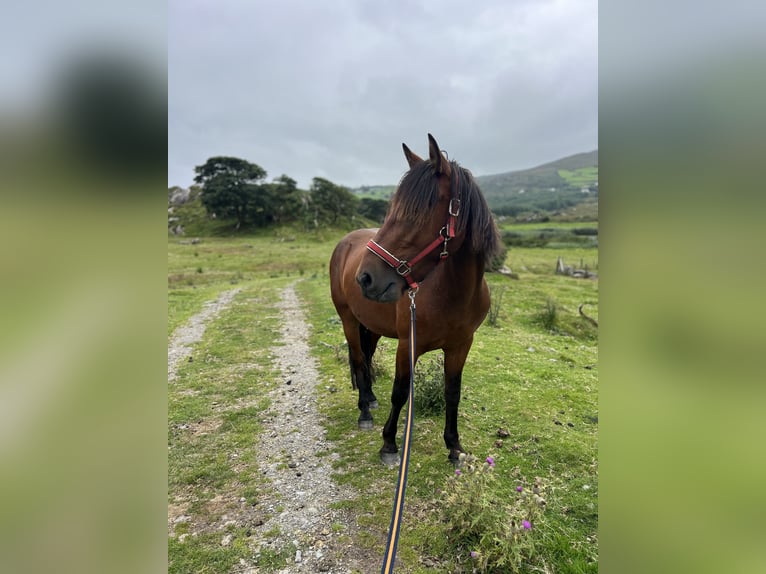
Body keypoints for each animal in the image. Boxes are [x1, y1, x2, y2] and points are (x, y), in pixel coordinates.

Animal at [329, 133, 502, 464]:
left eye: (419, 214)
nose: (365, 278)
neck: (452, 295)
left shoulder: (461, 346)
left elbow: (452, 392)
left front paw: (454, 446)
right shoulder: (408, 345)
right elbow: (400, 391)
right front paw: (389, 444)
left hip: (371, 325)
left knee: (367, 358)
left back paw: (370, 399)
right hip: (348, 320)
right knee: (358, 359)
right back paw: (364, 412)